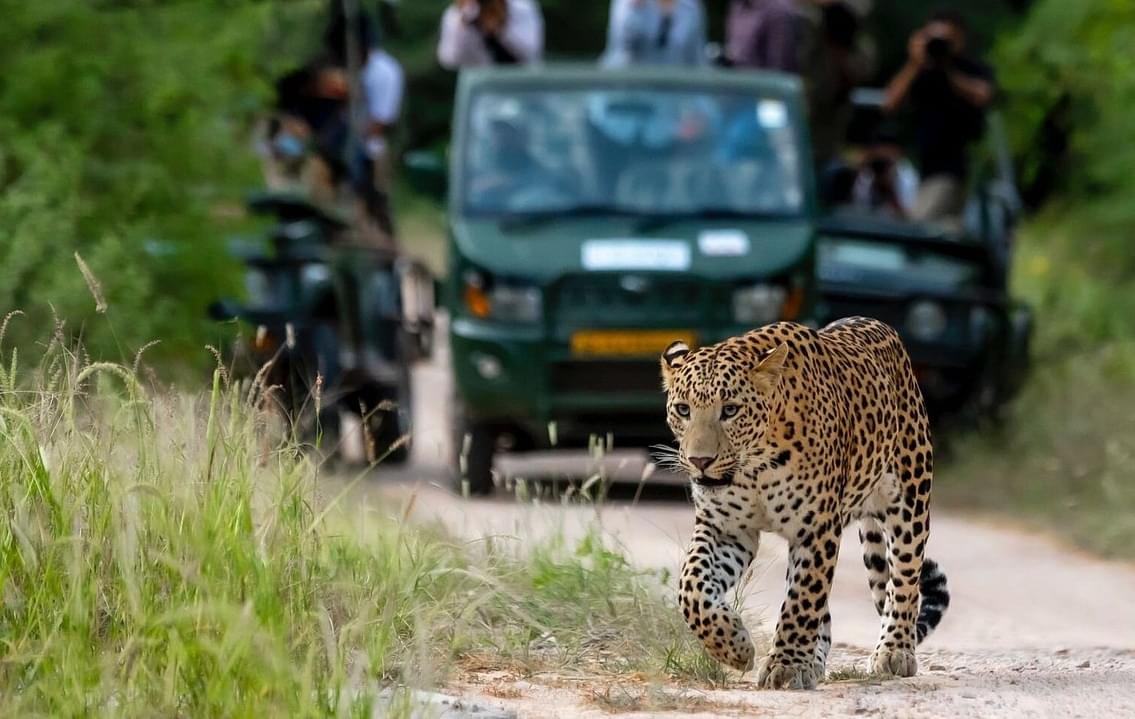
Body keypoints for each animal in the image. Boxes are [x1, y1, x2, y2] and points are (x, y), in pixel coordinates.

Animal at [659, 317, 950, 690]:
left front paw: (785, 666)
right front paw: (733, 646)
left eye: (731, 410)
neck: (755, 467)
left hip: (909, 501)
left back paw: (895, 650)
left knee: (904, 580)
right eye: (683, 410)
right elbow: (692, 587)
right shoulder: (725, 529)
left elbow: (801, 600)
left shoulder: (816, 529)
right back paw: (814, 662)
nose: (700, 461)